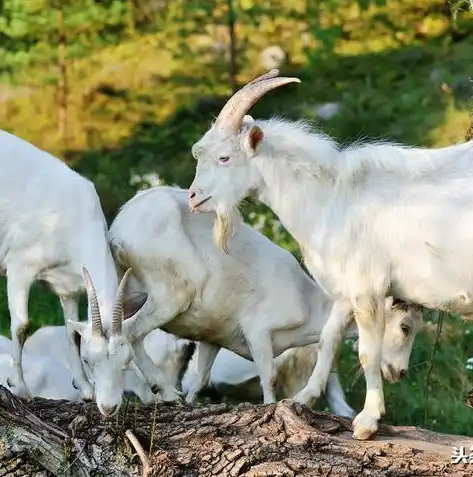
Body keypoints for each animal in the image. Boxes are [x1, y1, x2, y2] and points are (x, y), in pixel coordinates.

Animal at [0, 129, 140, 410]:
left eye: (127, 361)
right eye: (89, 360)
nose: (108, 408)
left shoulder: (68, 287)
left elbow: (71, 333)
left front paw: (85, 389)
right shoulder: (20, 266)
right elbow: (21, 326)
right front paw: (19, 388)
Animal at [69, 184, 416, 414]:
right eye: (406, 326)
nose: (400, 372)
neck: (308, 303)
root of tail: (121, 230)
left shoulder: (212, 337)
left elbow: (201, 378)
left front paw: (192, 403)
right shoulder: (258, 332)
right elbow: (268, 377)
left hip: (127, 290)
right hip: (168, 296)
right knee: (132, 333)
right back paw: (163, 393)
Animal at [187, 67, 472, 438]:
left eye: (224, 157)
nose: (193, 197)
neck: (331, 198)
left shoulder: (367, 287)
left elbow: (367, 352)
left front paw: (367, 422)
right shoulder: (344, 289)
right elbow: (327, 340)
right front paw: (303, 399)